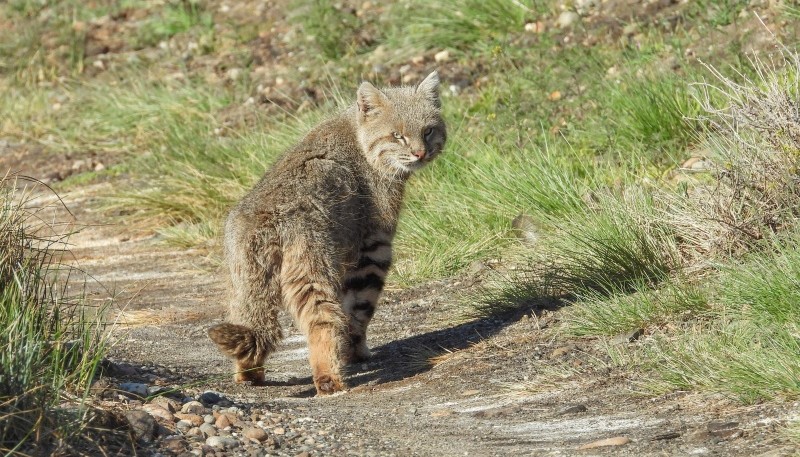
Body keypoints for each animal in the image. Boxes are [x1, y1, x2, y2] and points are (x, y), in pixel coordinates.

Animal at [206, 72, 446, 396]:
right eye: (397, 135)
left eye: (428, 131)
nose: (420, 152)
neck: (358, 137)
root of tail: (268, 217)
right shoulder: (373, 247)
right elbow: (357, 312)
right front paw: (356, 353)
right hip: (311, 270)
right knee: (322, 323)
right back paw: (328, 379)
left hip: (243, 282)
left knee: (253, 330)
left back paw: (248, 375)